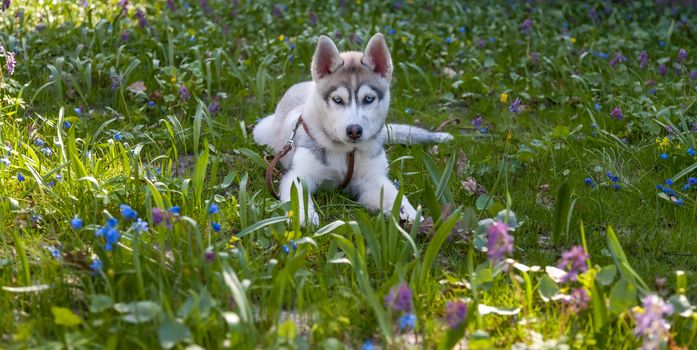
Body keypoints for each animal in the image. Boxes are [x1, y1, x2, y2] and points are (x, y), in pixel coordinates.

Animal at [253, 32, 454, 224]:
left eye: (368, 99)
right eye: (338, 99)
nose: (354, 131)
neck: (346, 151)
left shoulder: (373, 180)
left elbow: (396, 197)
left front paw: (413, 216)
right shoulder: (298, 176)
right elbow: (298, 197)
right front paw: (303, 217)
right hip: (261, 130)